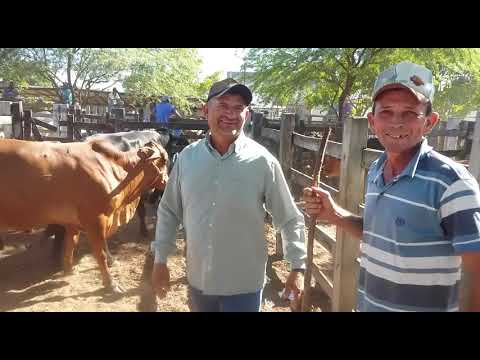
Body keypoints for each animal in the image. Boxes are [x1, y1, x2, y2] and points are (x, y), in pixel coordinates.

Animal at [0, 137, 169, 292]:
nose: (167, 181)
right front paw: (111, 284)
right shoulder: (96, 219)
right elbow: (100, 252)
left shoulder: (72, 223)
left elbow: (71, 245)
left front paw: (69, 270)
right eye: (165, 160)